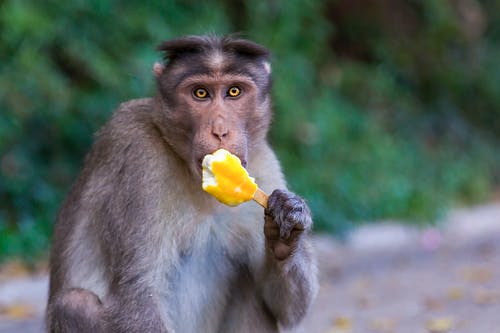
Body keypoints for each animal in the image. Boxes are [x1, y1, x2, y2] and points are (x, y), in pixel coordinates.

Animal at [47, 35, 320, 330]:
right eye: (200, 93)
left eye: (234, 92)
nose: (220, 131)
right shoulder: (137, 158)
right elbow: (139, 292)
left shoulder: (265, 165)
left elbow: (288, 308)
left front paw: (287, 226)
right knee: (75, 303)